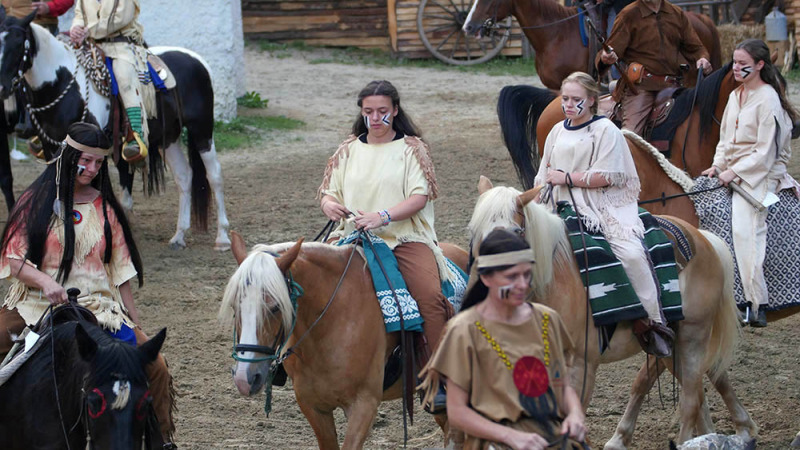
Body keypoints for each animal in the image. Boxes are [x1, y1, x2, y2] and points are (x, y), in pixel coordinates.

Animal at [0, 11, 231, 251]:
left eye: (18, 43)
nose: (2, 88)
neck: (62, 85)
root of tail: (198, 60)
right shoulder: (52, 147)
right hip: (170, 138)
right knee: (184, 176)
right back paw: (179, 235)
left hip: (201, 130)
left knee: (214, 175)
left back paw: (223, 237)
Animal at [469, 177, 756, 449]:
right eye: (475, 233)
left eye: (516, 233)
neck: (552, 280)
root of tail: (704, 239)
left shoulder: (580, 365)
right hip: (672, 346)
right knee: (697, 386)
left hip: (693, 336)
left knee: (690, 401)